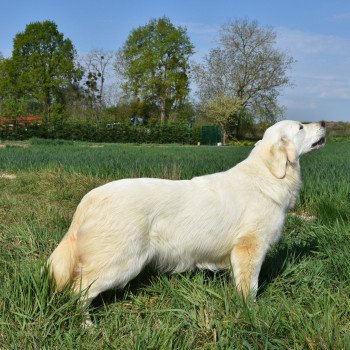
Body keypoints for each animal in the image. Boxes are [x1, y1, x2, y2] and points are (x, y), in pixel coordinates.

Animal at [47, 120, 326, 312]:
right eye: (301, 126)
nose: (323, 122)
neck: (268, 175)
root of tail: (90, 198)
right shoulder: (250, 247)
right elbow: (250, 288)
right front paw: (252, 312)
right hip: (121, 262)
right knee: (78, 292)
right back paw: (86, 325)